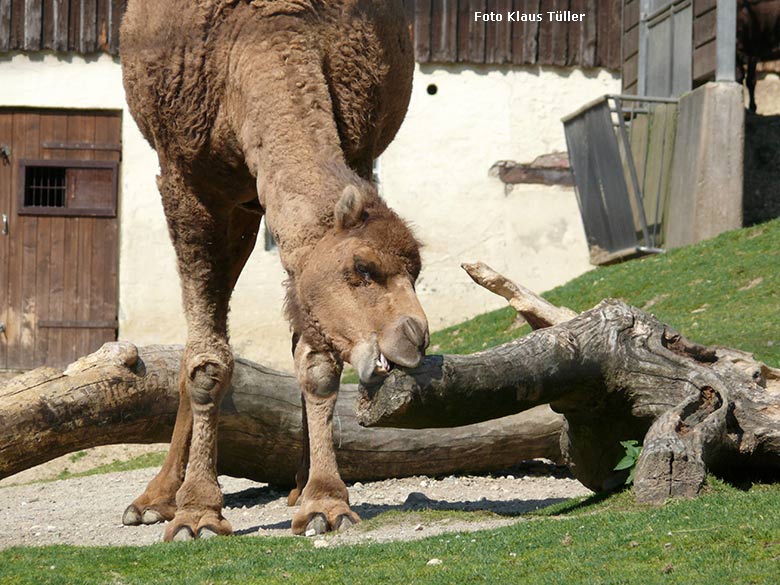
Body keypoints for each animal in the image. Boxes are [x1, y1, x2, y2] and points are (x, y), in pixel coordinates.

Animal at [119, 0, 430, 540]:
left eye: (417, 272)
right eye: (362, 267)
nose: (415, 336)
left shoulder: (357, 145)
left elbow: (318, 362)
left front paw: (324, 501)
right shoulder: (188, 183)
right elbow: (206, 362)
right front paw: (197, 513)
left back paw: (296, 486)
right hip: (229, 204)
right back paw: (154, 500)